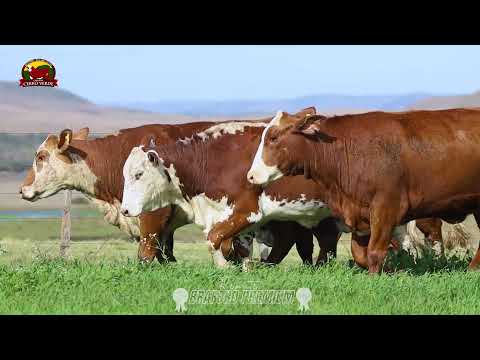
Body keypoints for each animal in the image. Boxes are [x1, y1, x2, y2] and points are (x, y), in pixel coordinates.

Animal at [248, 107, 480, 272]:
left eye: (273, 138)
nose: (251, 175)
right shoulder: (360, 214)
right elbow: (360, 255)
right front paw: (392, 270)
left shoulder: (385, 208)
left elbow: (375, 252)